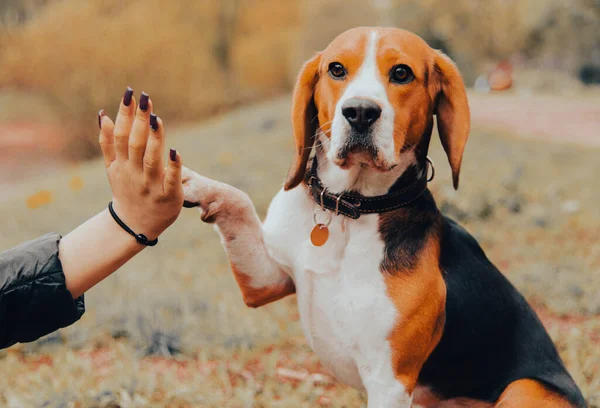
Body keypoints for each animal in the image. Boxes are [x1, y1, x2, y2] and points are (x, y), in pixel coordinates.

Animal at [183, 27, 584, 406]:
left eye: (402, 73)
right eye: (336, 69)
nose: (360, 111)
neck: (349, 209)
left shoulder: (389, 381)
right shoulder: (266, 278)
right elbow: (238, 201)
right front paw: (189, 181)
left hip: (522, 388)